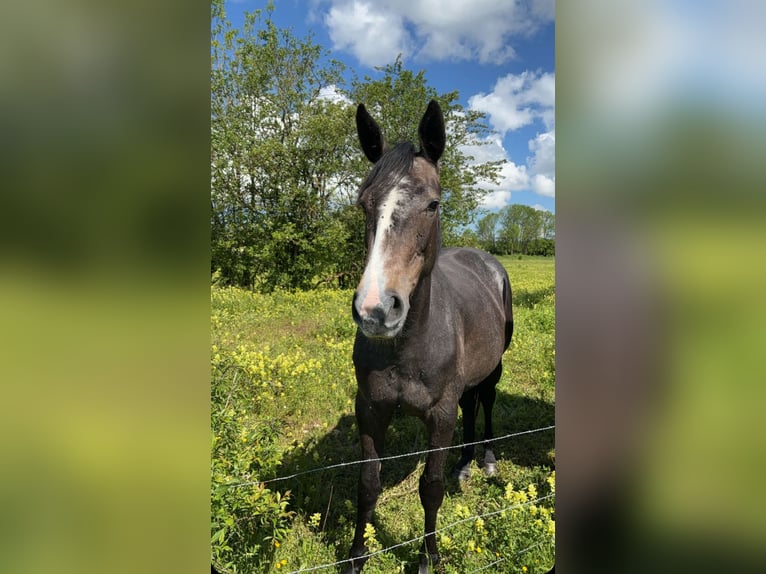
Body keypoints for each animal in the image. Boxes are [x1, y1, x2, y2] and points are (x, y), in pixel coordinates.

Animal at [348, 101, 516, 572]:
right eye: (364, 203)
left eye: (433, 203)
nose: (375, 310)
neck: (407, 348)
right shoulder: (370, 409)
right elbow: (367, 484)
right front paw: (356, 557)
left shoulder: (440, 415)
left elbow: (431, 486)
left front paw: (428, 557)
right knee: (471, 404)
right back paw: (465, 463)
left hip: (494, 368)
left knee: (486, 402)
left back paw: (487, 460)